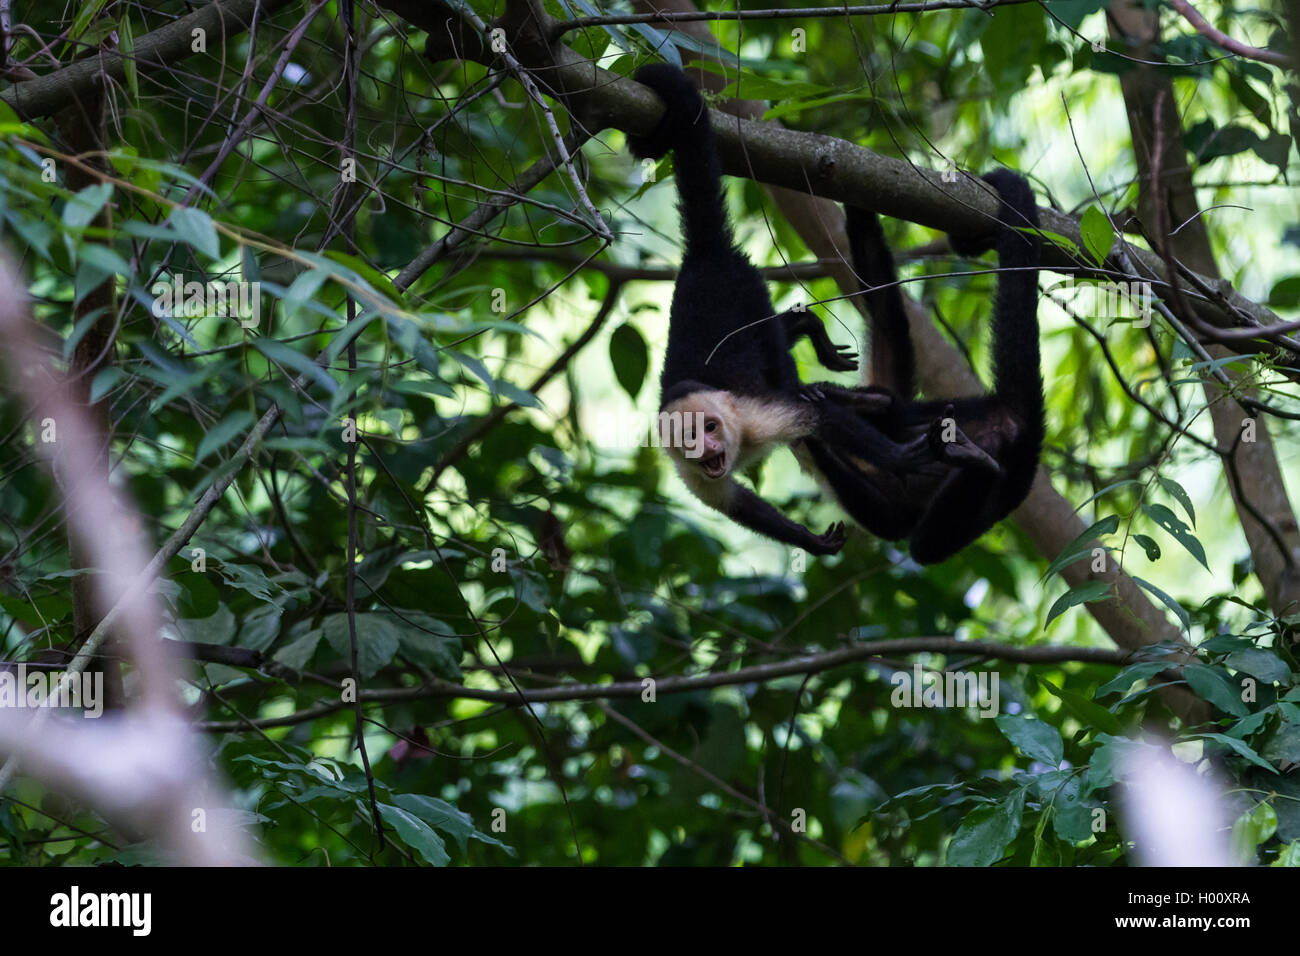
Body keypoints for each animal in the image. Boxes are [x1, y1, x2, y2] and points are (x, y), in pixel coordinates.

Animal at [624, 63, 930, 556]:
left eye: (710, 427)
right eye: (690, 437)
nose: (708, 449)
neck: (737, 440)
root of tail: (703, 255)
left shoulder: (757, 418)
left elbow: (816, 419)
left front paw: (898, 457)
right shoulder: (690, 469)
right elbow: (733, 503)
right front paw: (809, 540)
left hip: (745, 285)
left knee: (779, 364)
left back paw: (818, 371)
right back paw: (806, 334)